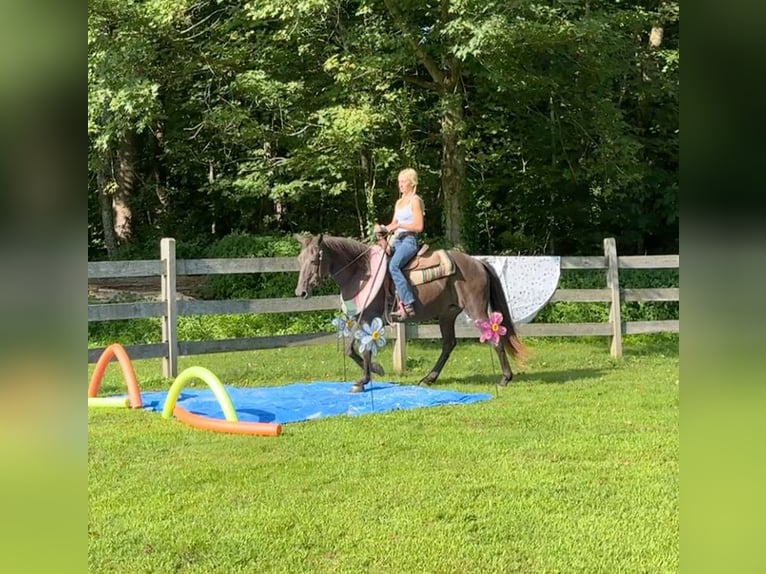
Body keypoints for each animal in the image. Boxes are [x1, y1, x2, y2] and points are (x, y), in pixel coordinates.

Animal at [294, 233, 526, 392]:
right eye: (299, 260)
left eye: (314, 260)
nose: (300, 292)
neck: (361, 272)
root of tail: (478, 262)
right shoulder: (362, 319)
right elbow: (351, 349)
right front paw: (376, 371)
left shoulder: (369, 317)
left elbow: (361, 350)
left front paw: (363, 380)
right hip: (447, 315)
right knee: (448, 344)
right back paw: (428, 378)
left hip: (476, 310)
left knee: (495, 338)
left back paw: (505, 378)